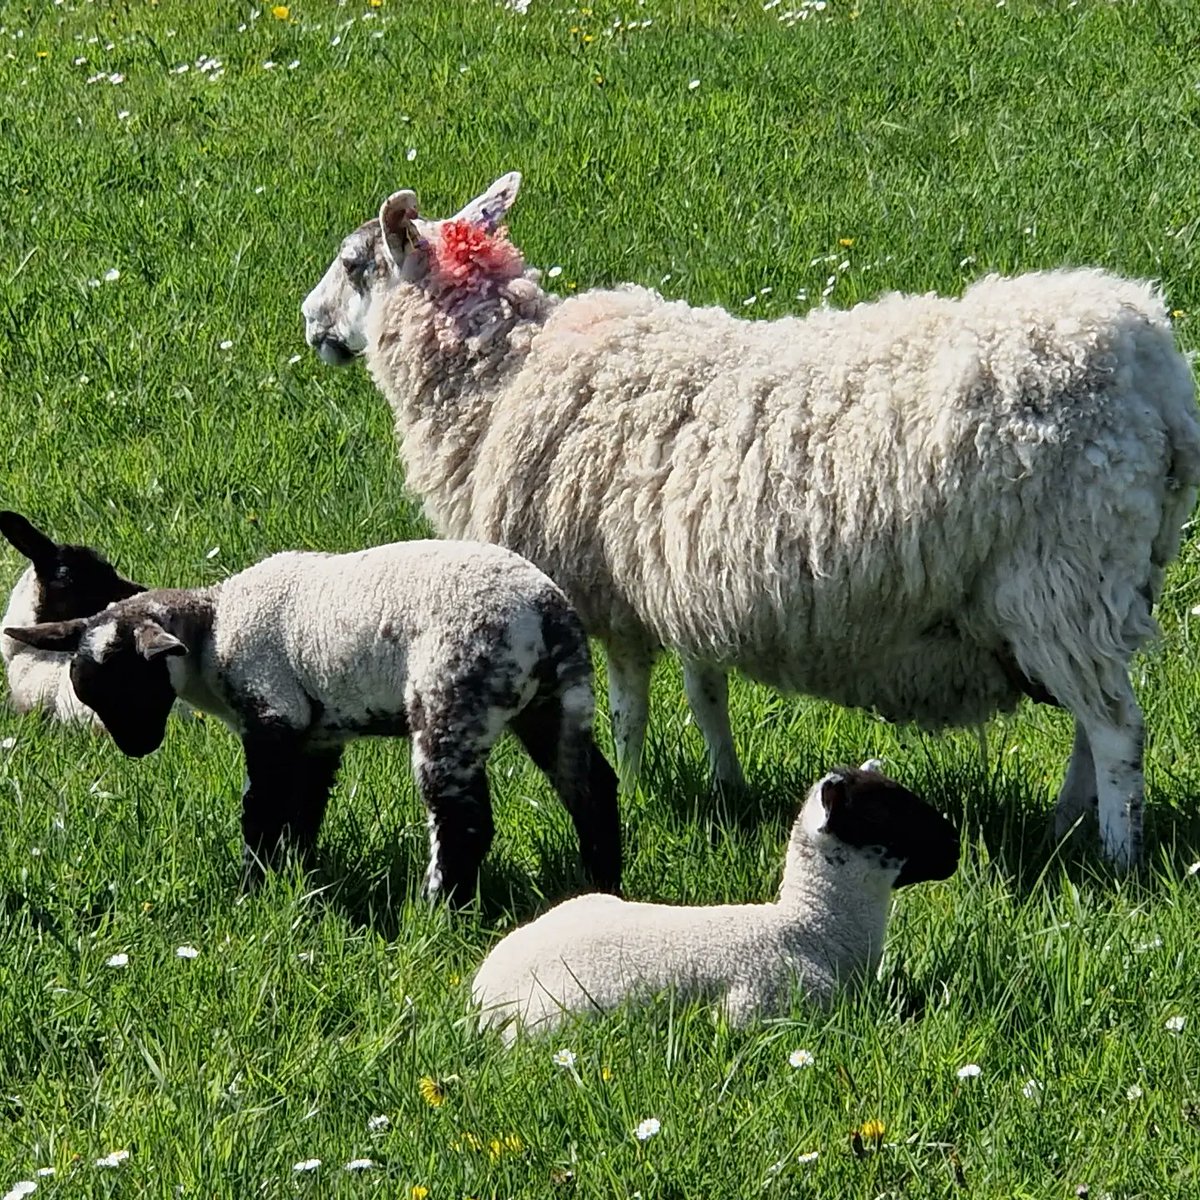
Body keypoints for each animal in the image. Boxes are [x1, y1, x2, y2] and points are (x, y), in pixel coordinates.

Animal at [4, 538, 623, 902]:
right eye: (88, 693)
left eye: (135, 682)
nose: (136, 748)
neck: (212, 631)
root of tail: (545, 611)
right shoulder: (317, 733)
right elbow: (304, 811)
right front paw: (297, 877)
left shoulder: (271, 715)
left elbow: (261, 814)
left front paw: (253, 890)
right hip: (557, 701)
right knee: (593, 786)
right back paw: (602, 881)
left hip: (452, 694)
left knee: (463, 822)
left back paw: (438, 910)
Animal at [300, 171, 1200, 869]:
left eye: (353, 264)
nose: (310, 326)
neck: (504, 375)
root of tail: (1154, 366)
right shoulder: (683, 580)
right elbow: (708, 695)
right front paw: (725, 786)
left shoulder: (606, 591)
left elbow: (628, 706)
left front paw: (636, 783)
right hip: (1086, 590)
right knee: (1090, 722)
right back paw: (1066, 827)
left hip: (1059, 572)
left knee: (1118, 732)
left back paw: (1116, 856)